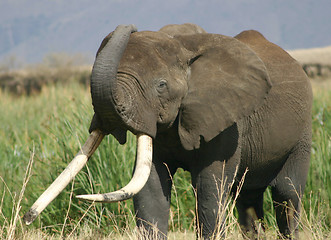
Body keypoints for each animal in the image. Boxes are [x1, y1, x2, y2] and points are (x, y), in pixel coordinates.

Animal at [24, 23, 314, 240]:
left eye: (161, 85)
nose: (27, 218)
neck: (185, 45)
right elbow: (150, 188)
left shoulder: (227, 123)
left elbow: (209, 189)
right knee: (248, 198)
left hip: (303, 131)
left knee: (287, 194)